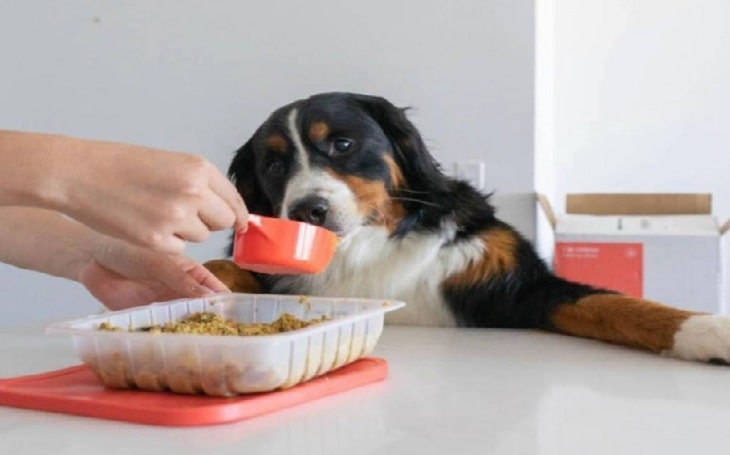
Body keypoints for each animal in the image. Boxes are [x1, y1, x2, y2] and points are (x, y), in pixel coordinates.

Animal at [205, 91, 728, 366]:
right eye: (274, 165)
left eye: (343, 144)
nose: (305, 210)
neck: (369, 249)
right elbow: (224, 268)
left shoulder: (521, 283)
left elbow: (619, 305)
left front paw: (710, 330)